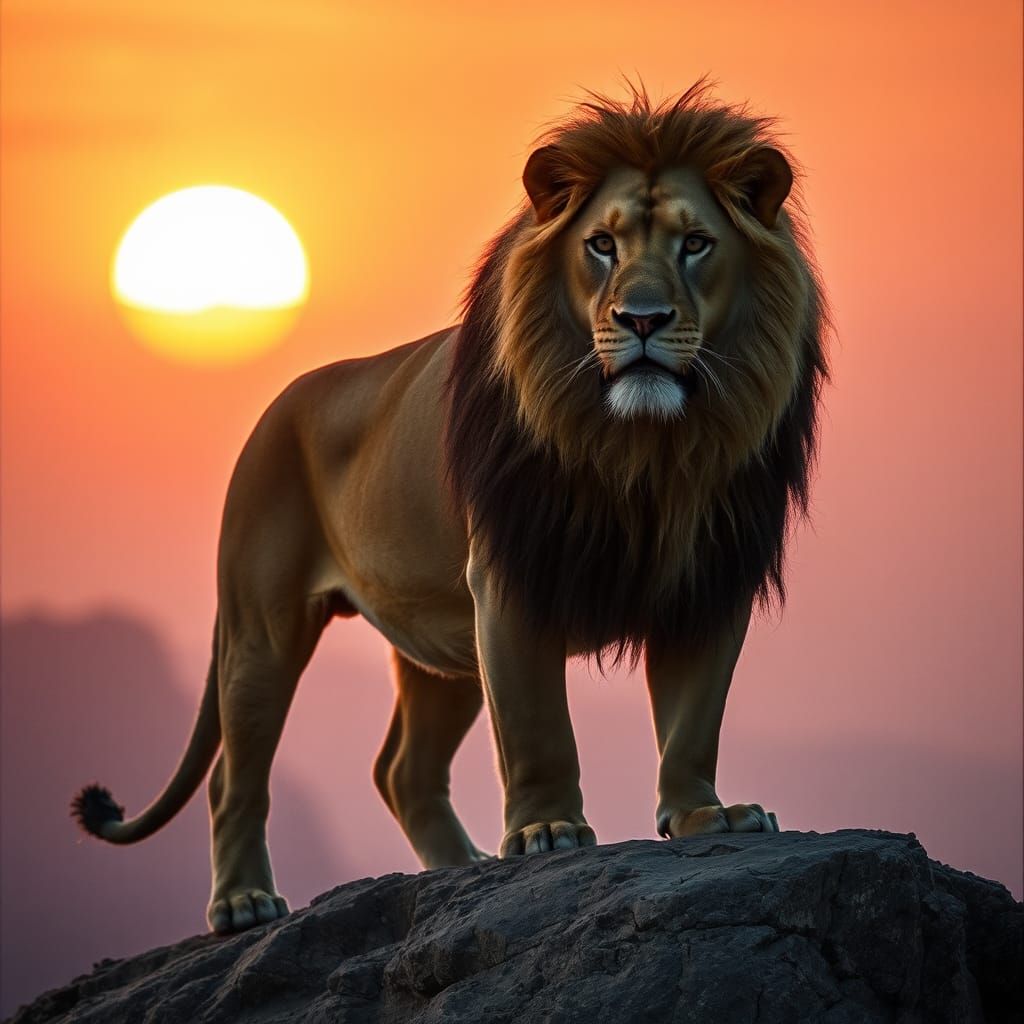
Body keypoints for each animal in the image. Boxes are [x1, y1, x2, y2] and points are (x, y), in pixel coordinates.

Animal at [73, 82, 829, 935]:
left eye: (695, 244)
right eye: (601, 245)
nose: (641, 319)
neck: (645, 450)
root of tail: (280, 402)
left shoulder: (710, 577)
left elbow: (694, 720)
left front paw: (706, 815)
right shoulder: (508, 578)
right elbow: (537, 724)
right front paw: (547, 831)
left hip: (442, 641)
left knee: (402, 769)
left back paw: (460, 869)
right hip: (262, 629)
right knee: (236, 779)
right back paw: (244, 903)